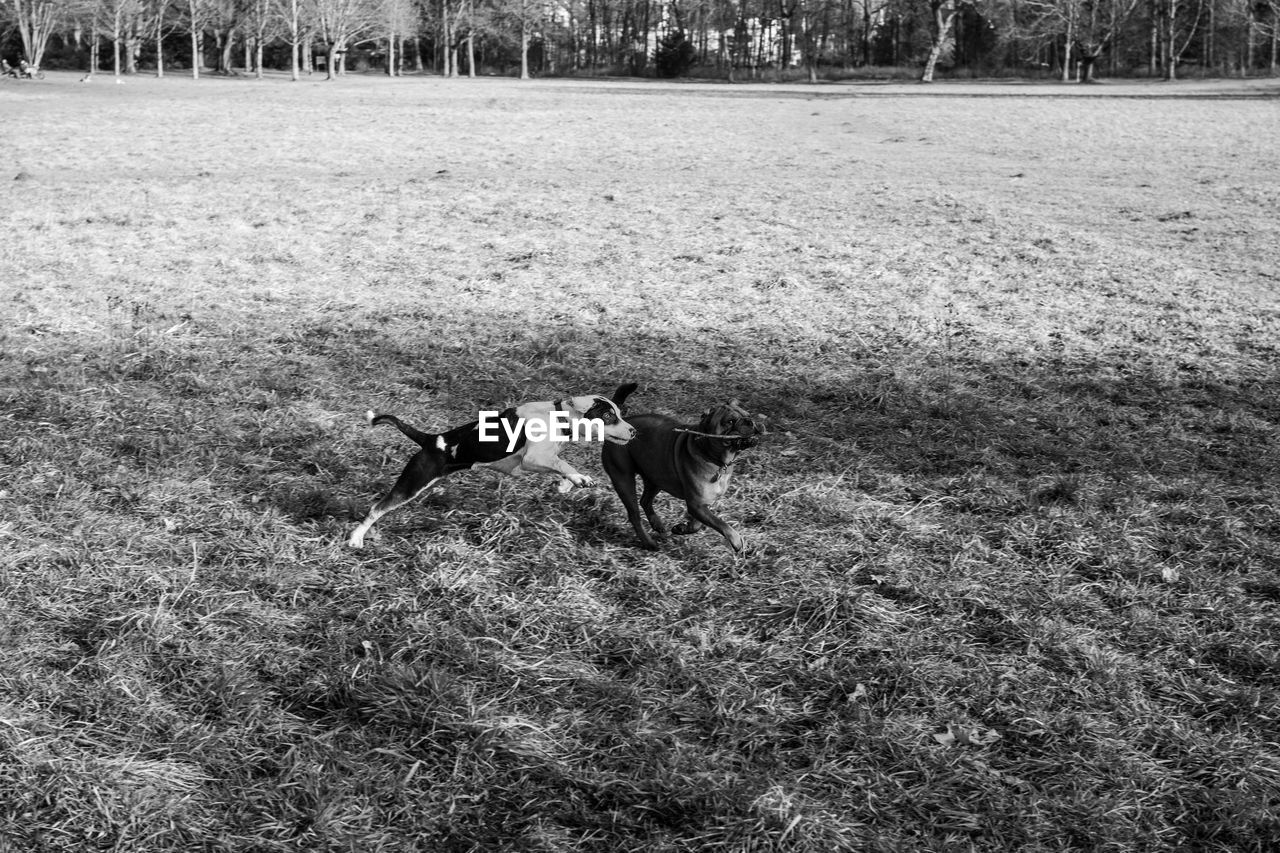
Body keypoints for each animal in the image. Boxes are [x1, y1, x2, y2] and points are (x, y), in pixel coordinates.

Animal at [348, 384, 637, 545]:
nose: (633, 432)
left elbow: (562, 466)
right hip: (412, 483)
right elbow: (563, 463)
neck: (559, 417)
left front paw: (568, 485)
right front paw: (580, 479)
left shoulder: (539, 460)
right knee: (376, 508)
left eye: (619, 414)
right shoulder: (531, 460)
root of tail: (431, 440)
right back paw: (356, 539)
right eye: (608, 416)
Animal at [599, 394, 757, 555]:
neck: (713, 456)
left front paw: (681, 529)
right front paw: (737, 541)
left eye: (749, 415)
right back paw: (649, 543)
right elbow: (721, 524)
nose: (749, 421)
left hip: (656, 478)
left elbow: (697, 525)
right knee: (634, 516)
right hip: (624, 481)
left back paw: (657, 524)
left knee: (645, 501)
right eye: (730, 422)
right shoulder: (696, 505)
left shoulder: (700, 505)